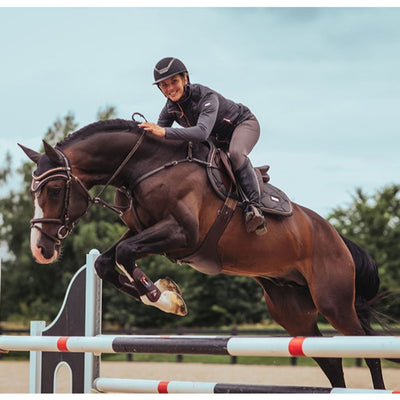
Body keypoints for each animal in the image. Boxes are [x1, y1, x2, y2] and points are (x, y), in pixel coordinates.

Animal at [19, 118, 388, 388]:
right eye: (34, 191)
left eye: (54, 189)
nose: (40, 249)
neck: (149, 165)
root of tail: (337, 237)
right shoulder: (145, 231)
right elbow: (106, 262)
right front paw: (166, 298)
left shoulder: (181, 233)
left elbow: (123, 253)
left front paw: (163, 296)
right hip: (292, 312)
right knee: (329, 357)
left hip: (333, 302)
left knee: (367, 348)